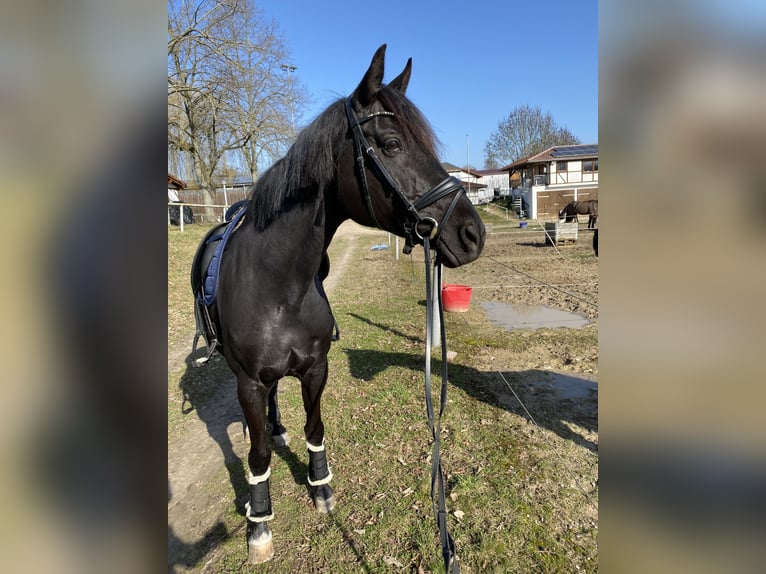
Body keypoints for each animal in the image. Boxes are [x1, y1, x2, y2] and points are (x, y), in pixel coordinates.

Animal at [190, 45, 485, 564]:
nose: (472, 234)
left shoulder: (315, 368)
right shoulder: (248, 381)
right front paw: (258, 522)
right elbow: (259, 457)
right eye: (391, 143)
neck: (278, 287)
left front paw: (321, 488)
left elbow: (314, 428)